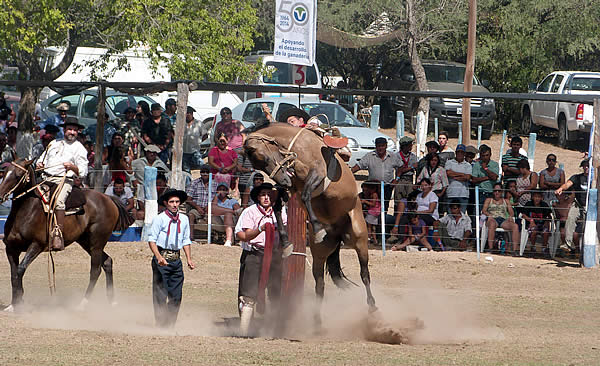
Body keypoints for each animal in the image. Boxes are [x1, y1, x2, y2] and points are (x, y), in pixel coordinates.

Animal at [0, 159, 134, 310]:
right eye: (5, 172)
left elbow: (20, 270)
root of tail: (108, 198)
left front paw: (19, 303)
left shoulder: (36, 245)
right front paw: (13, 304)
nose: (0, 195)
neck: (26, 211)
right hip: (86, 241)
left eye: (18, 175)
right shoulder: (11, 249)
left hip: (97, 243)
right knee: (107, 262)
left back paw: (83, 303)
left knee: (95, 269)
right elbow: (13, 274)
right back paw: (112, 301)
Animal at [243, 122, 376, 326]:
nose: (283, 180)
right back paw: (317, 320)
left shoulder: (317, 174)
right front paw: (286, 244)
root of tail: (339, 234)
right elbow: (277, 205)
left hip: (360, 240)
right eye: (259, 165)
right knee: (320, 284)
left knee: (364, 274)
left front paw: (317, 227)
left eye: (264, 157)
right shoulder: (291, 187)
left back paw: (372, 306)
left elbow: (306, 195)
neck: (298, 148)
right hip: (320, 255)